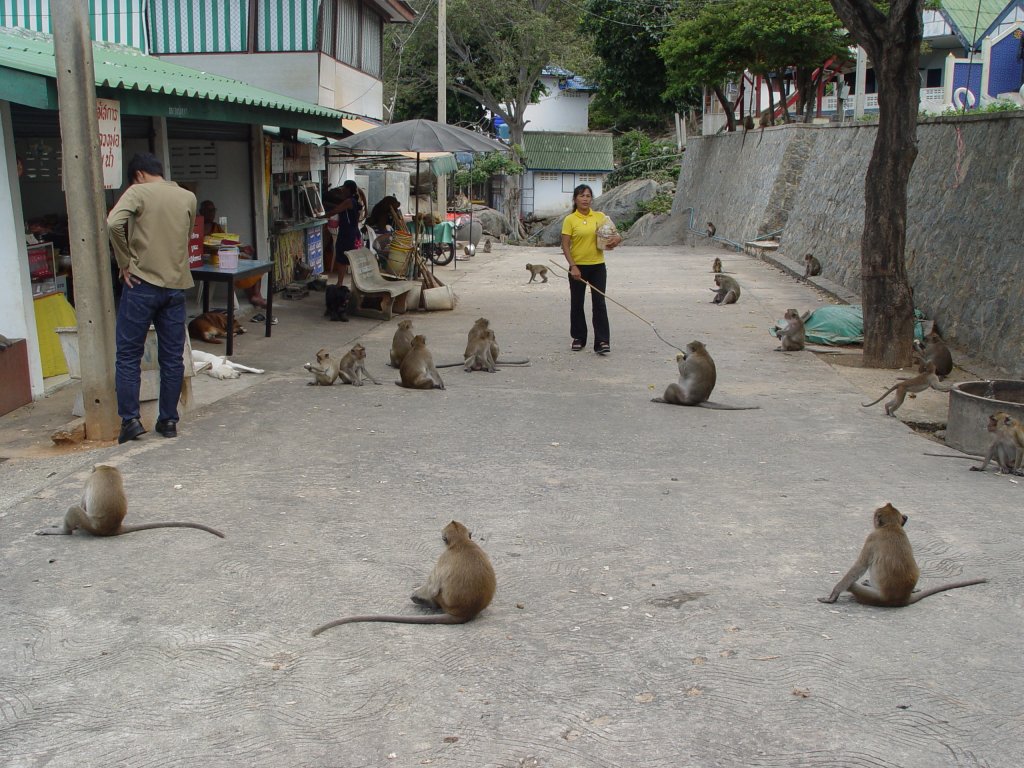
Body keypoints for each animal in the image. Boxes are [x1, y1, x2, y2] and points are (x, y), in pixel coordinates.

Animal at [35, 466, 224, 536]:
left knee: (74, 509)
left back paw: (64, 531)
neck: (106, 469)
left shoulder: (88, 481)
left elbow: (82, 503)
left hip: (90, 524)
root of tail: (113, 528)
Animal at [815, 501, 983, 610]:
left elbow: (859, 567)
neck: (891, 526)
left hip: (877, 598)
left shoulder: (872, 538)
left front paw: (834, 595)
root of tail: (902, 598)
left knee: (852, 584)